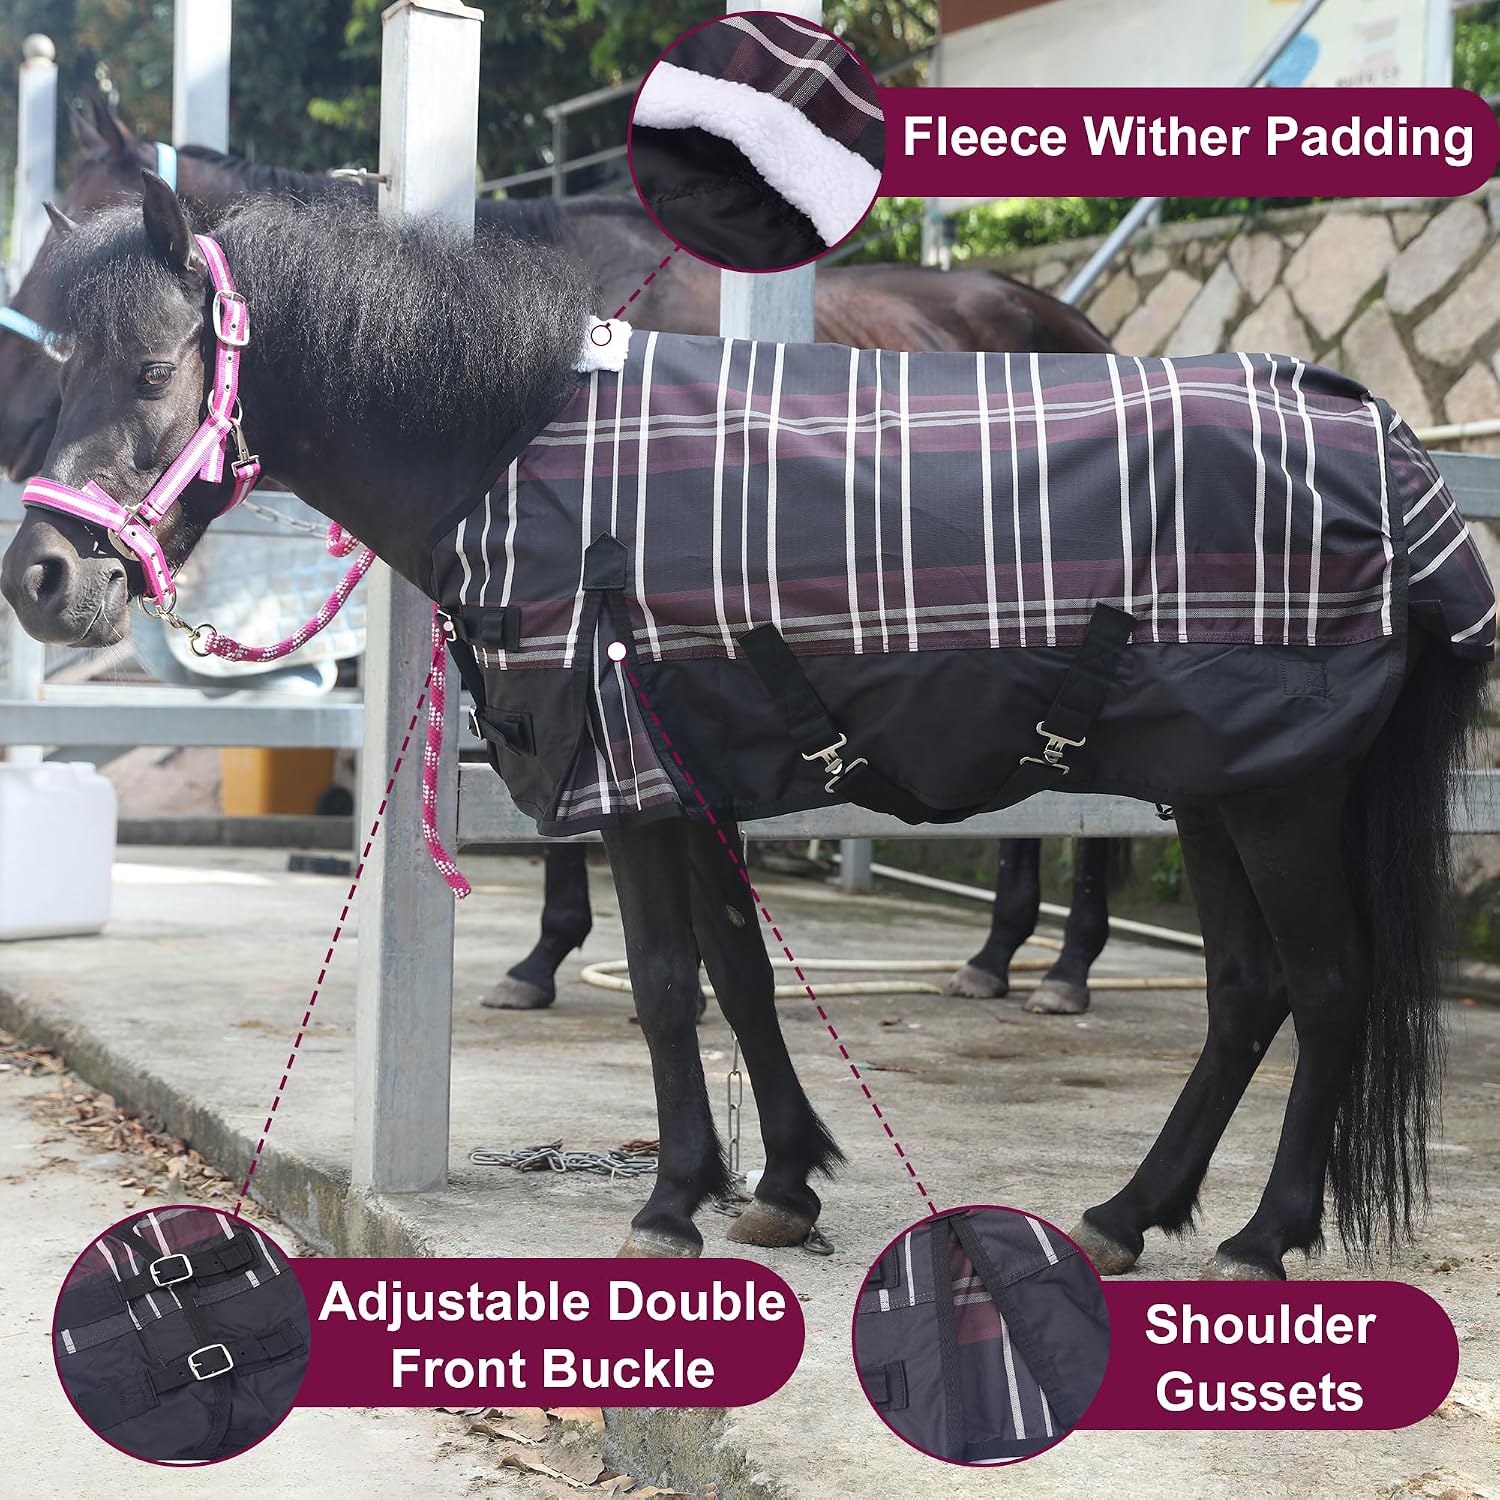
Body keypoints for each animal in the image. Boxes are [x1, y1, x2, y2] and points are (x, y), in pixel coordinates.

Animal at [3, 97, 1124, 1022]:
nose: (38, 575)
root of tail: (1074, 323)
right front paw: (554, 958)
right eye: (65, 337)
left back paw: (1066, 967)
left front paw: (579, 960)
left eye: (150, 370)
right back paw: (1001, 952)